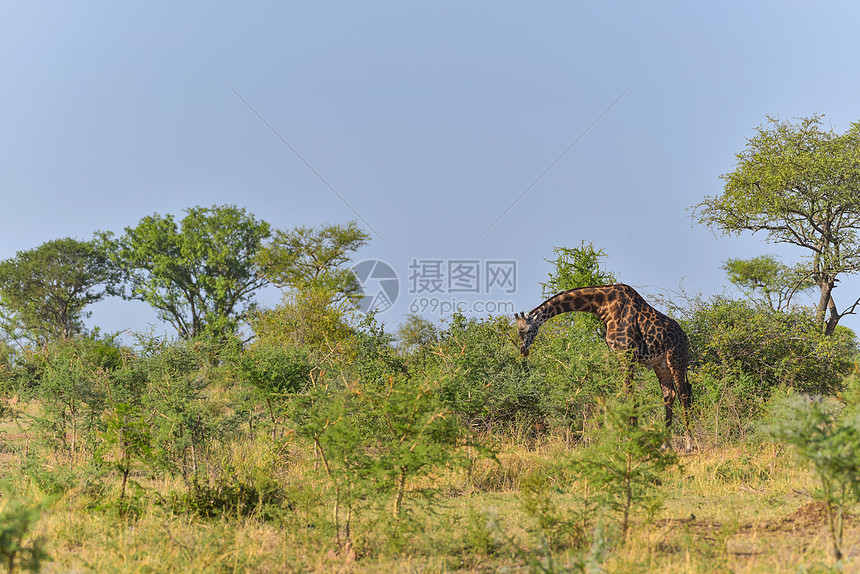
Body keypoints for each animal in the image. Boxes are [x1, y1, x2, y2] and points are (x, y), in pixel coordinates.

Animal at [512, 286, 696, 452]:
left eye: (526, 330)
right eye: (518, 331)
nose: (523, 350)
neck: (603, 304)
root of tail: (685, 337)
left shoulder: (626, 354)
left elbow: (629, 395)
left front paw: (631, 438)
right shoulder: (618, 355)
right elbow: (624, 394)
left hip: (676, 358)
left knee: (684, 395)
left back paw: (689, 445)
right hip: (661, 364)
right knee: (669, 395)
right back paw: (665, 445)